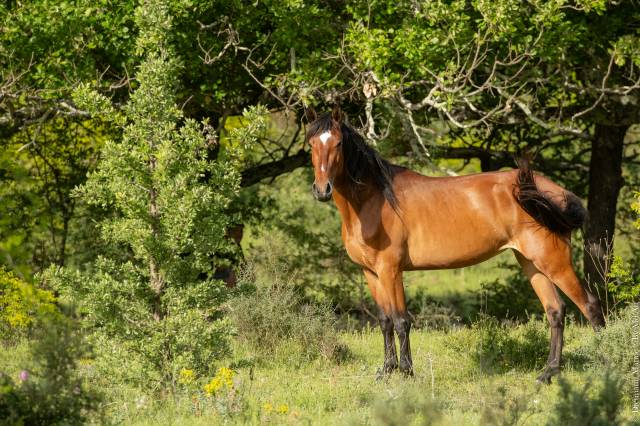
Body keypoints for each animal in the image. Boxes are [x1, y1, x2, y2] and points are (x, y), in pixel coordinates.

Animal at [308, 106, 608, 382]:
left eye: (337, 143)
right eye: (311, 144)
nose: (322, 190)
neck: (374, 201)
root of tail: (552, 192)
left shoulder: (391, 270)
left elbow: (401, 320)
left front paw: (406, 372)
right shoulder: (370, 272)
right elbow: (384, 321)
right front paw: (387, 370)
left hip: (554, 261)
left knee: (590, 306)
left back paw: (605, 365)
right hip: (532, 263)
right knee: (555, 311)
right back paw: (548, 373)